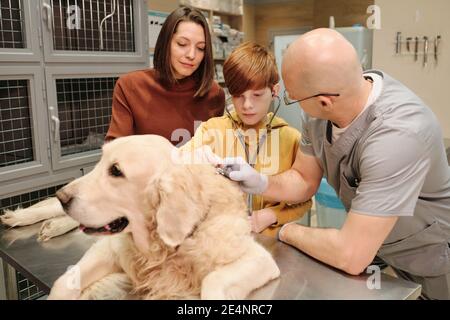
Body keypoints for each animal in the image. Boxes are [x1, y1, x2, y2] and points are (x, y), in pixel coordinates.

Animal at [3, 136, 280, 300]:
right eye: (100, 161)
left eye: (116, 170)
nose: (63, 196)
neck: (161, 248)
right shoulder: (108, 249)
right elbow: (65, 281)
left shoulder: (259, 259)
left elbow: (213, 279)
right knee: (54, 210)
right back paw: (26, 217)